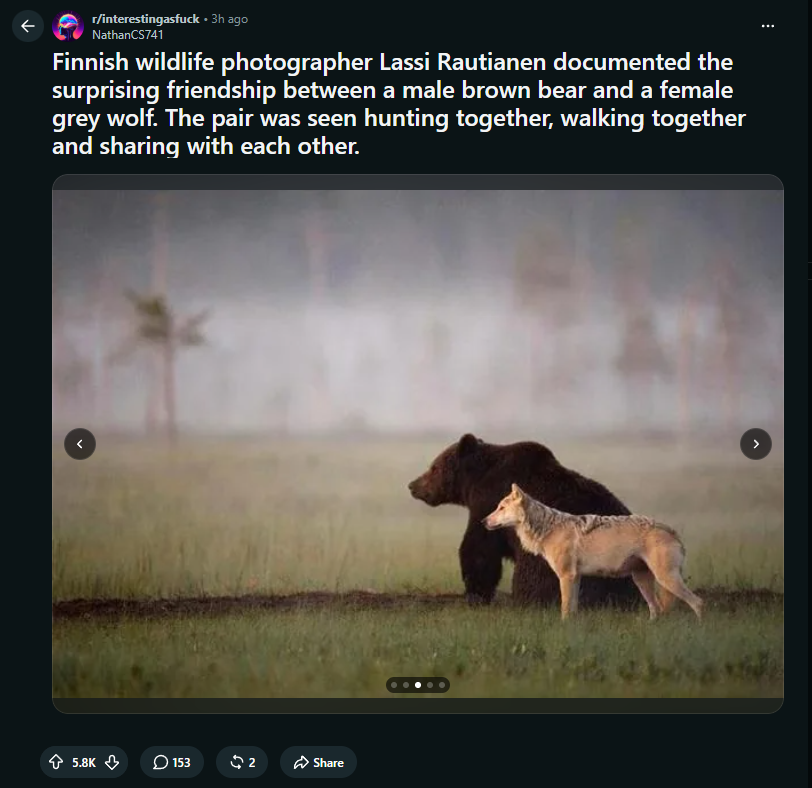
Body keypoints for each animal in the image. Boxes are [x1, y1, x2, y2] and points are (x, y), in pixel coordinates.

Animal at [407, 433, 640, 608]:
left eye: (434, 467)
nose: (413, 485)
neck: (475, 481)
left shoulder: (488, 502)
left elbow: (479, 549)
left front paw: (475, 594)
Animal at [483, 484, 703, 621]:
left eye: (501, 508)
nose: (483, 521)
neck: (548, 528)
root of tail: (670, 529)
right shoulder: (575, 577)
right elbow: (572, 609)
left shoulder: (566, 576)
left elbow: (564, 608)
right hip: (642, 581)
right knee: (656, 609)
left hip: (665, 579)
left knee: (698, 603)